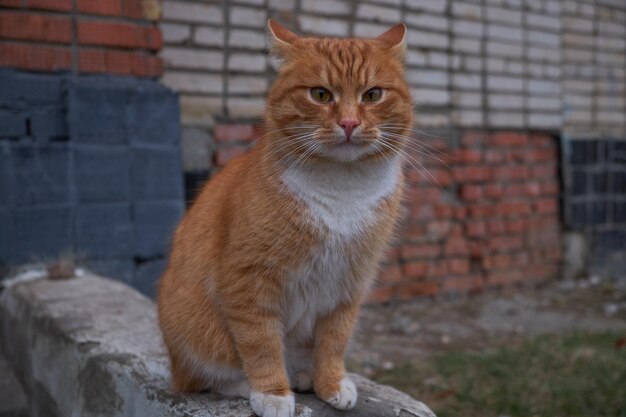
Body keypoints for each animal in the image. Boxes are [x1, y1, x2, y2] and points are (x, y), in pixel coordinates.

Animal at [156, 20, 412, 416]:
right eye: (320, 94)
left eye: (372, 95)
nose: (349, 123)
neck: (343, 190)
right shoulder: (248, 280)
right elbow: (260, 342)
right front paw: (273, 393)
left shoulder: (349, 283)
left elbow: (334, 340)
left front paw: (330, 383)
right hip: (192, 331)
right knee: (205, 377)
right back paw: (257, 383)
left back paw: (303, 375)